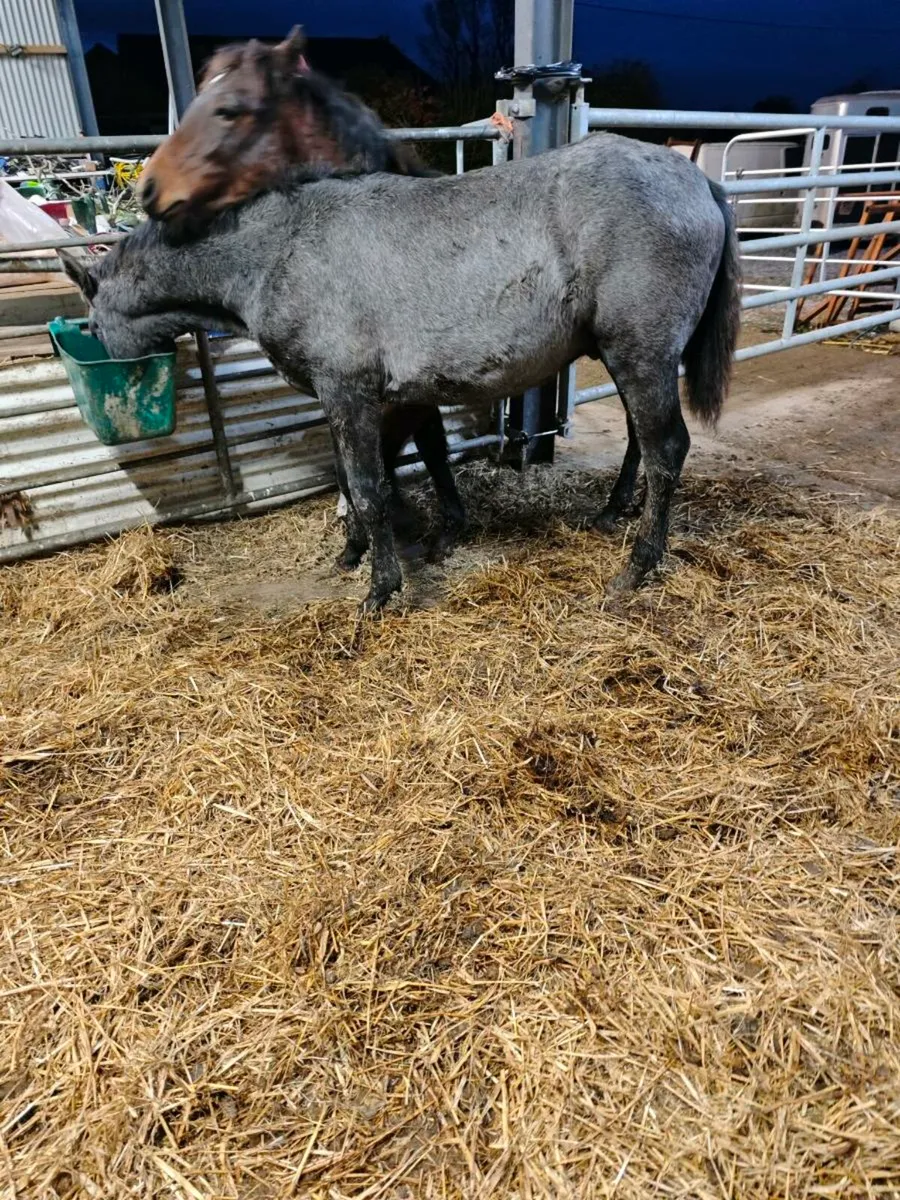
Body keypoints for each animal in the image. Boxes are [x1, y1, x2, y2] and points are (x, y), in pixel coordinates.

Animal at [62, 131, 741, 613]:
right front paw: (378, 547)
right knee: (638, 439)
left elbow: (368, 486)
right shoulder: (400, 395)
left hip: (640, 353)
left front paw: (380, 586)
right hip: (630, 357)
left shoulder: (348, 394)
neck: (278, 250)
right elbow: (409, 464)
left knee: (665, 448)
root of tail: (698, 181)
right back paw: (612, 514)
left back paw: (638, 566)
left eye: (91, 327)